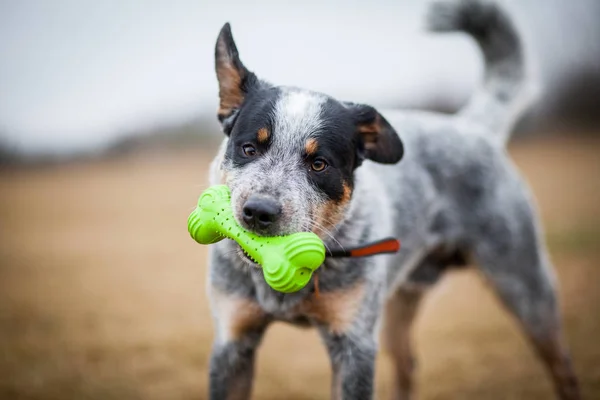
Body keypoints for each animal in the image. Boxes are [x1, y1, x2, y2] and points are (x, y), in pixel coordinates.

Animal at [204, 0, 580, 400]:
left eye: (319, 164)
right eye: (249, 148)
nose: (258, 212)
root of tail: (471, 127)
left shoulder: (354, 344)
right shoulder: (233, 340)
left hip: (525, 284)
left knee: (562, 365)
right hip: (400, 301)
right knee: (407, 363)